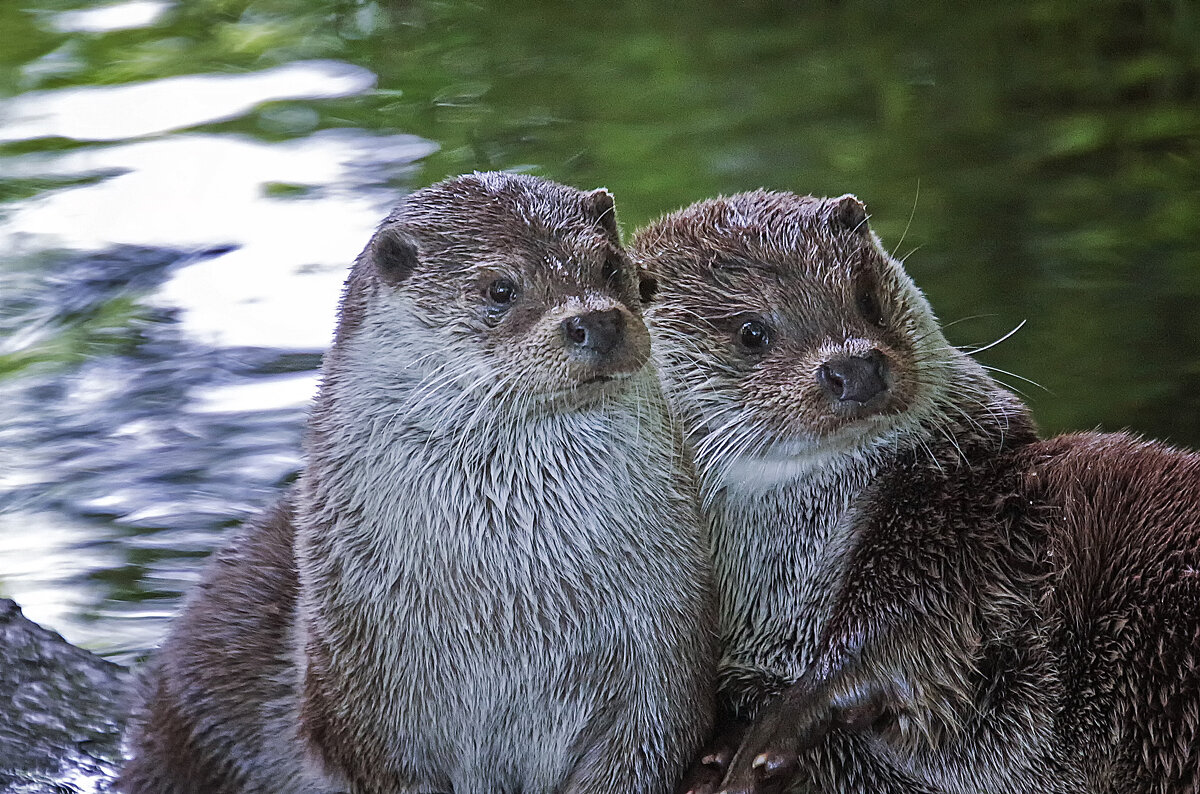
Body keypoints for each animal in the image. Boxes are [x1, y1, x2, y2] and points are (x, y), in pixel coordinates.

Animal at [123, 173, 715, 794]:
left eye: (609, 266)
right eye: (500, 288)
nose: (597, 319)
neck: (510, 605)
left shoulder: (662, 651)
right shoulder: (363, 701)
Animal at [633, 193, 1200, 794]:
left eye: (866, 297)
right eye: (751, 332)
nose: (854, 365)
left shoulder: (966, 525)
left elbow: (910, 619)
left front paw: (772, 733)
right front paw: (720, 753)